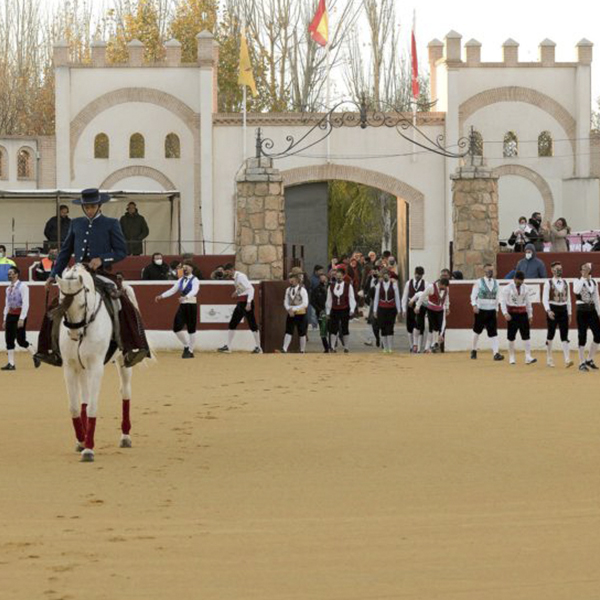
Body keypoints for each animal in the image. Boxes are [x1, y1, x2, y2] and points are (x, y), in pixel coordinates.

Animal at [56, 264, 134, 464]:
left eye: (81, 304)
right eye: (60, 302)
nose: (74, 334)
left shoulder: (96, 366)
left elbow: (92, 406)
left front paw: (89, 449)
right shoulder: (70, 366)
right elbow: (75, 406)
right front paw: (81, 440)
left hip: (123, 361)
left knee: (125, 392)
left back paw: (125, 437)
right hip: (82, 368)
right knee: (84, 397)